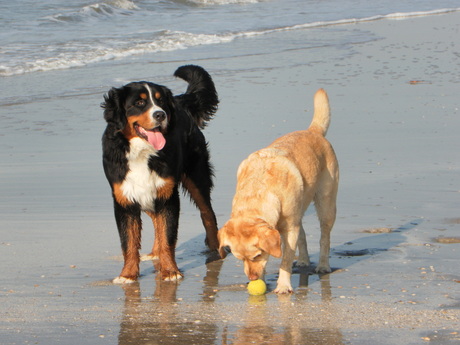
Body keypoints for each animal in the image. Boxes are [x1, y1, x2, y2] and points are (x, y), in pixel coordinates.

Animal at [102, 64, 219, 282]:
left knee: (208, 213)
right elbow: (129, 242)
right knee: (156, 220)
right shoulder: (125, 199)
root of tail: (180, 103)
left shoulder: (167, 195)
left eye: (161, 101)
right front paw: (127, 274)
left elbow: (168, 236)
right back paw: (154, 253)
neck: (142, 152)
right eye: (139, 102)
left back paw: (217, 248)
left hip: (196, 175)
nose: (160, 114)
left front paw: (170, 271)